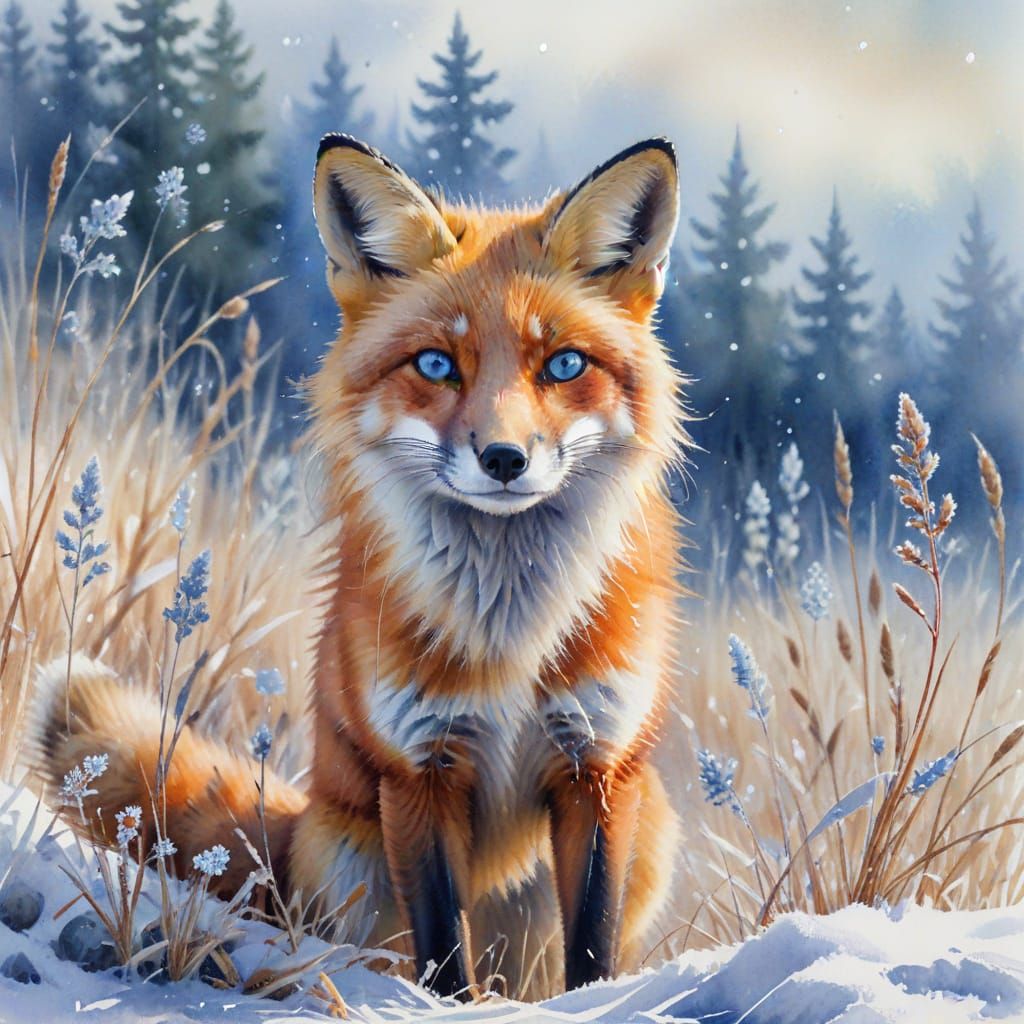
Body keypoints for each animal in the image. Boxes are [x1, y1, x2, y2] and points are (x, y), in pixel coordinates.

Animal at [32, 134, 687, 999]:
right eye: (437, 366)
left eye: (565, 365)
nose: (504, 459)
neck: (511, 634)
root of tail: (299, 821)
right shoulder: (418, 770)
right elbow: (443, 953)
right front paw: (444, 1009)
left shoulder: (597, 766)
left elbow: (592, 947)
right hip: (350, 863)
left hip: (649, 830)